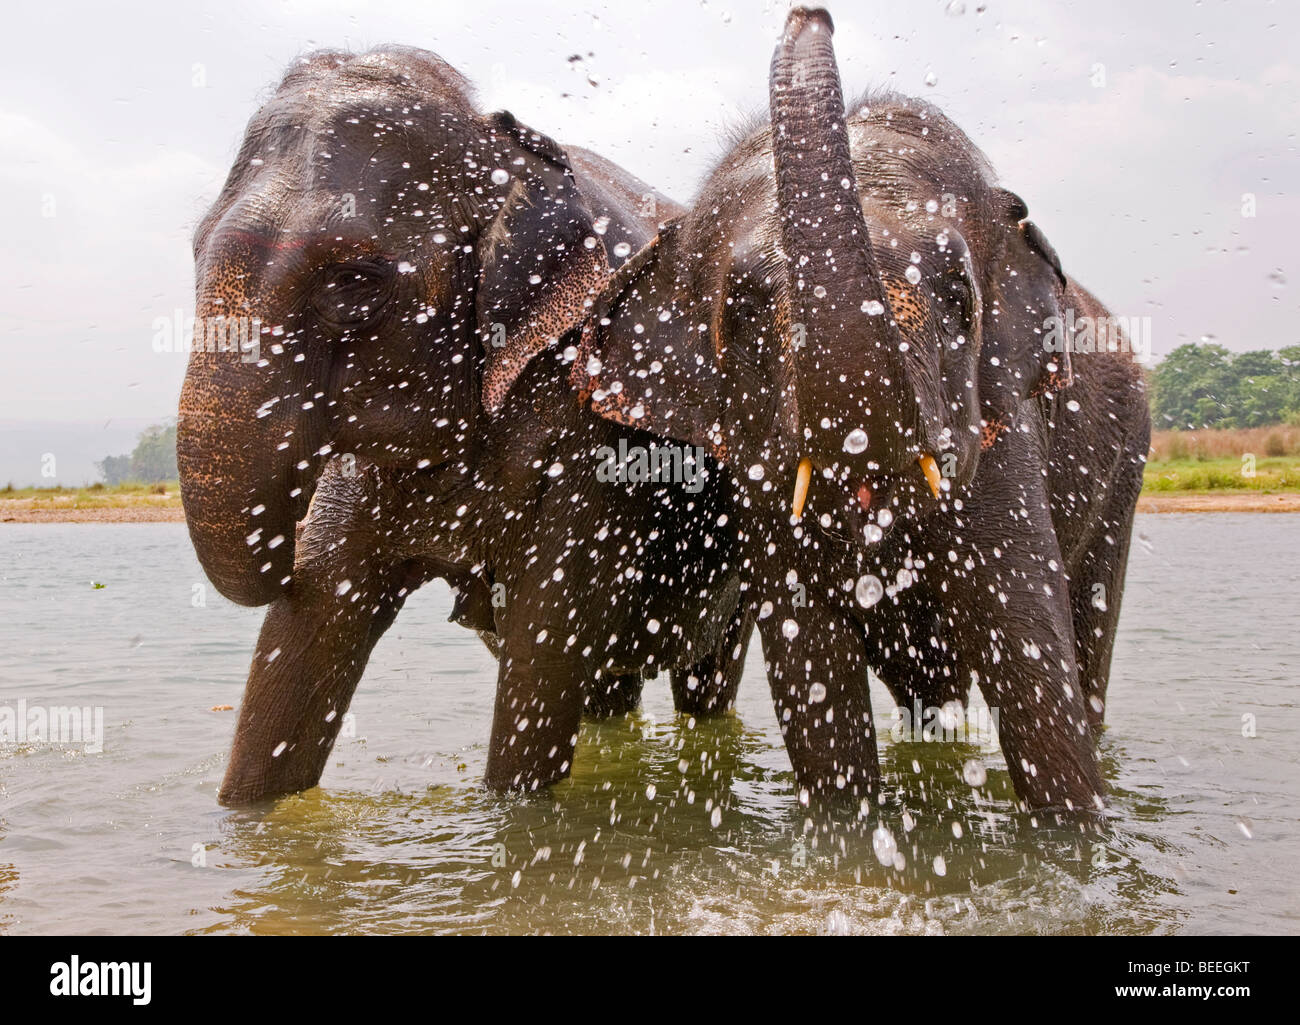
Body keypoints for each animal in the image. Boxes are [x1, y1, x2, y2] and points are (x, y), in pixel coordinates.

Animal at [178, 46, 754, 805]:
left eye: (357, 283)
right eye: (193, 248)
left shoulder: (592, 423)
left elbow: (546, 641)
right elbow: (313, 622)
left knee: (705, 678)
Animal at [569, 7, 1149, 813]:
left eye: (959, 299)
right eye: (742, 311)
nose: (810, 14)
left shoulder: (1007, 434)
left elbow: (1030, 659)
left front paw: (1073, 832)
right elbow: (813, 668)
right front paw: (852, 830)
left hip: (1127, 465)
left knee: (1088, 630)